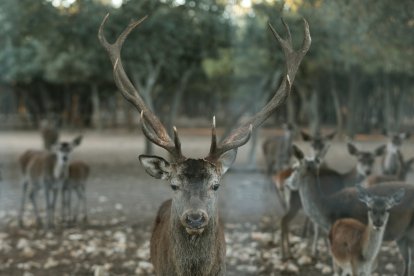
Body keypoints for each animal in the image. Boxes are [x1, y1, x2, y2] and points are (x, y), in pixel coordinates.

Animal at [288, 144, 414, 276]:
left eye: (295, 168)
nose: (288, 182)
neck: (326, 210)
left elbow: (337, 267)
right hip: (402, 236)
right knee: (407, 261)